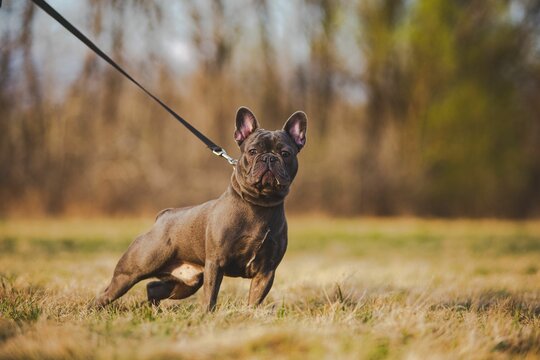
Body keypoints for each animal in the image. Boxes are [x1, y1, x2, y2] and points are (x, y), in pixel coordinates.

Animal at [94, 106, 306, 310]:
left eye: (285, 154)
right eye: (253, 151)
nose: (269, 158)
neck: (259, 204)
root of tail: (162, 217)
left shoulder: (266, 272)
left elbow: (255, 299)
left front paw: (250, 314)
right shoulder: (216, 263)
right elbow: (210, 296)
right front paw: (206, 315)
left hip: (186, 284)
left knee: (153, 288)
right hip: (131, 272)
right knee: (106, 294)